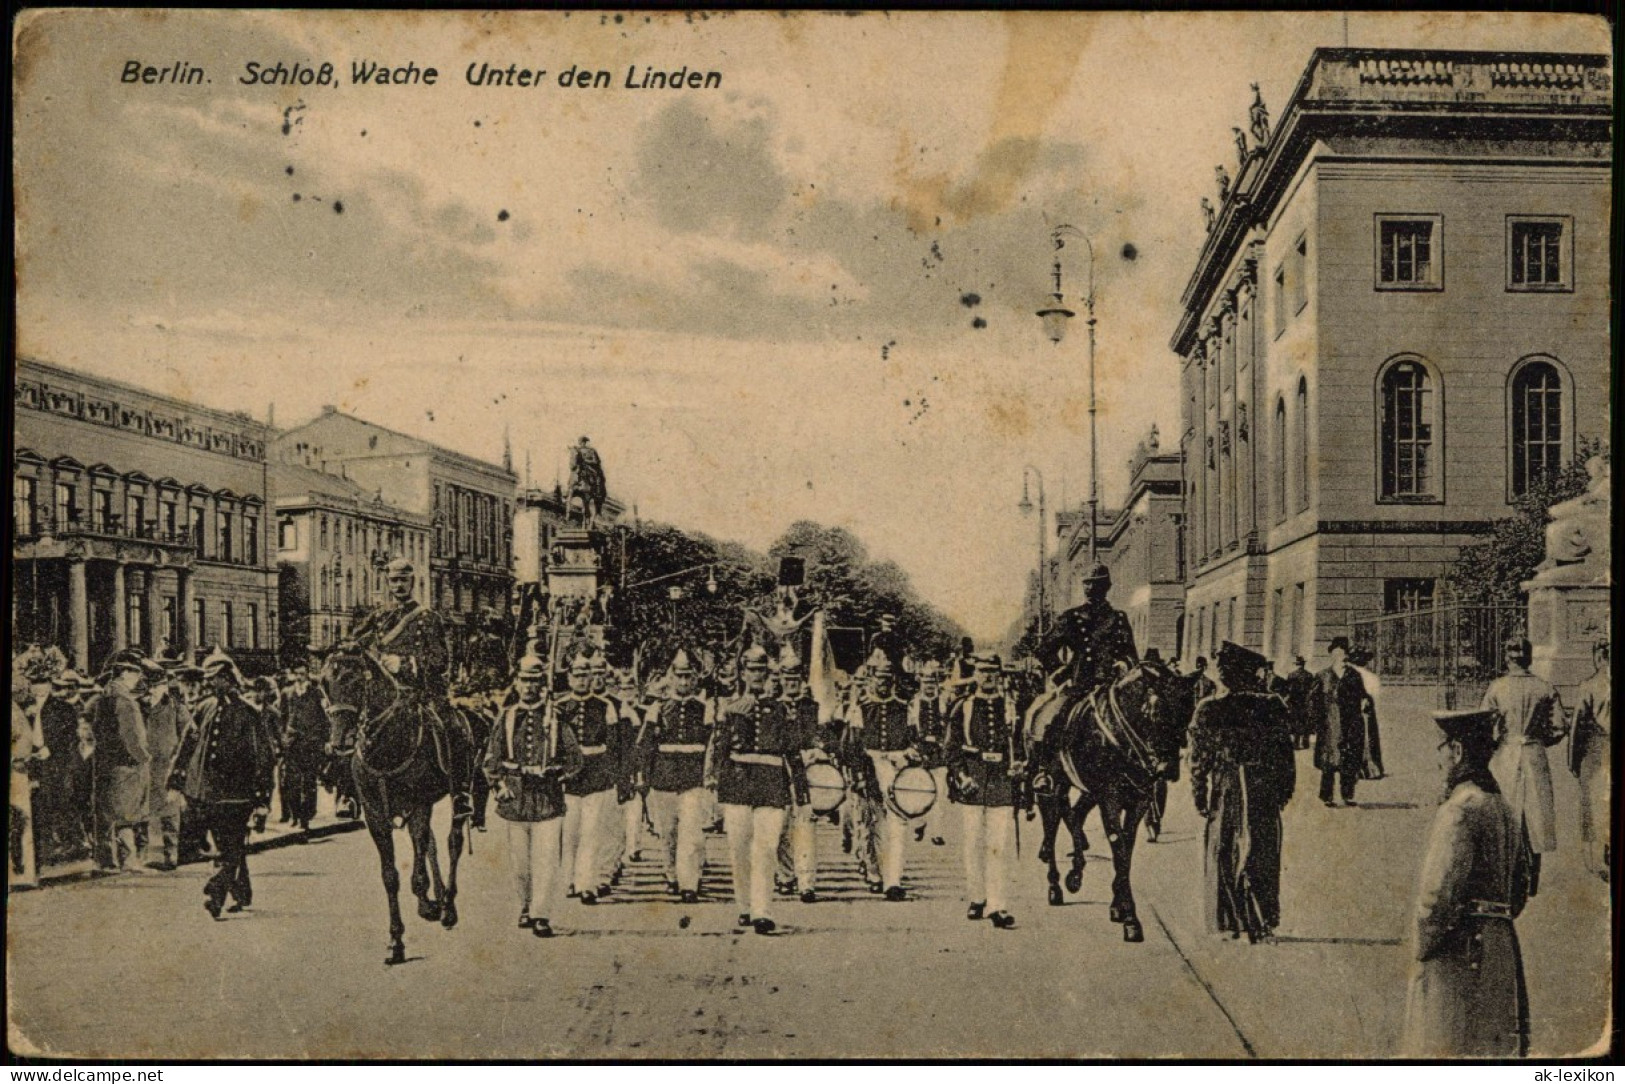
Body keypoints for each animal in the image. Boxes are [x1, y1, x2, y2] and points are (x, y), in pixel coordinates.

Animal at [318, 650, 468, 962]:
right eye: (323, 683)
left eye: (354, 681)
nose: (339, 743)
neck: (386, 746)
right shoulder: (375, 816)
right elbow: (390, 876)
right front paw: (395, 940)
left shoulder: (420, 804)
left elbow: (420, 866)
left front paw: (427, 904)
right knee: (430, 844)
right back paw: (436, 898)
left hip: (461, 789)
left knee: (453, 842)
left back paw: (447, 907)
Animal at [1027, 663, 1183, 942]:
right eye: (1156, 713)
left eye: (1187, 713)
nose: (1169, 769)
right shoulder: (1109, 799)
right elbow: (1118, 846)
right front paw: (1131, 918)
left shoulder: (1138, 801)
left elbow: (1126, 849)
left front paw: (1117, 905)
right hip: (1051, 789)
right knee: (1052, 826)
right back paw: (1055, 885)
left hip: (1085, 791)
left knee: (1074, 815)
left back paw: (1075, 873)